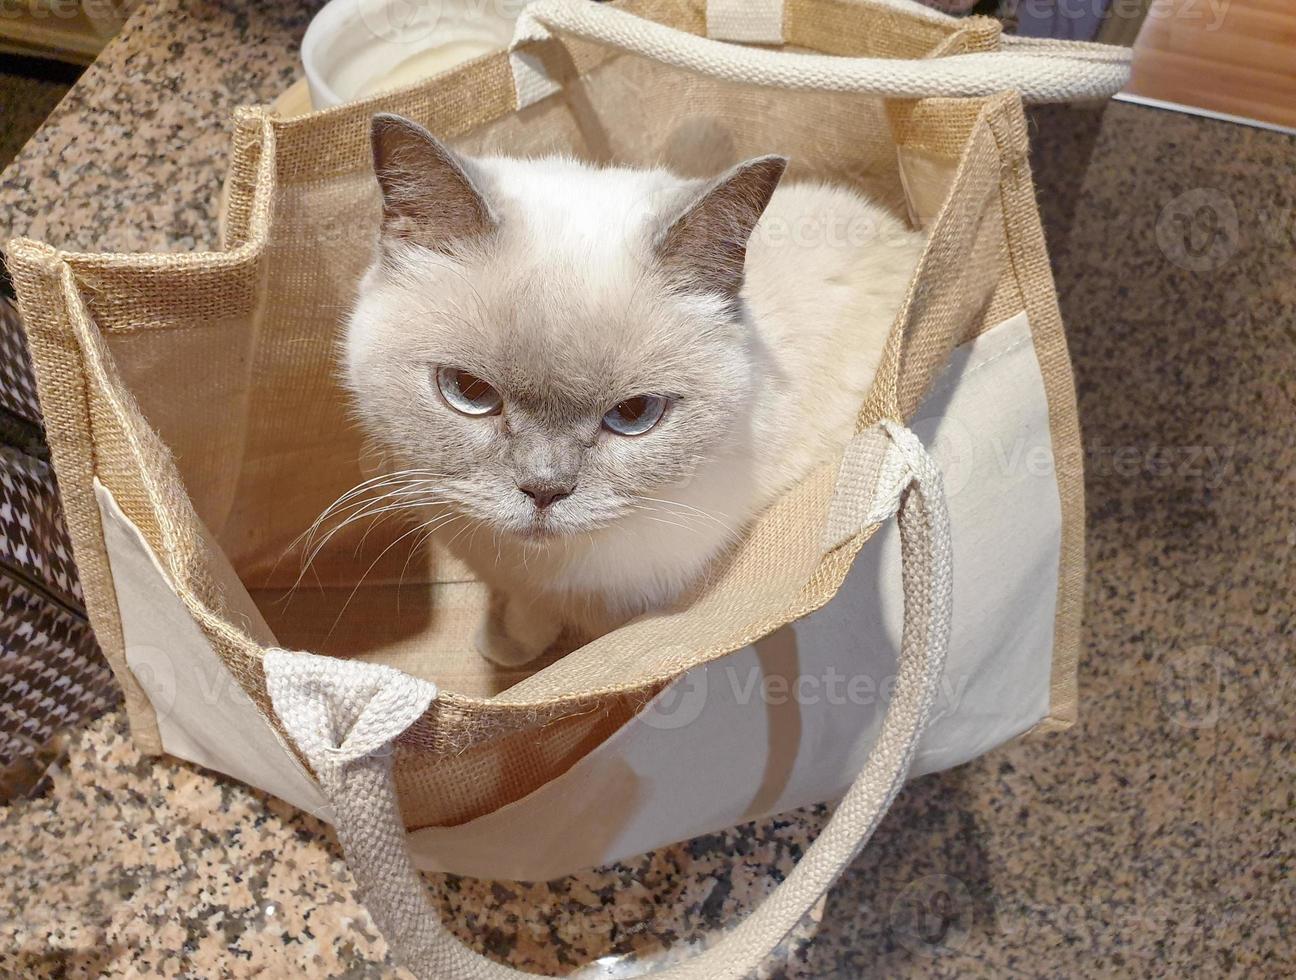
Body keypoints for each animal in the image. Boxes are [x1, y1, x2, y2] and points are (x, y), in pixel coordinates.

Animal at [342, 114, 922, 663]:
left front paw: (514, 648)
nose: (544, 491)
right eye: (468, 391)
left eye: (635, 414)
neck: (542, 565)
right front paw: (509, 645)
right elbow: (529, 609)